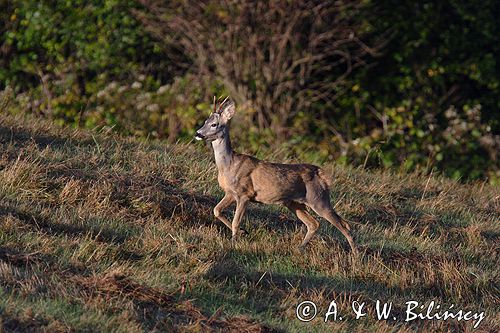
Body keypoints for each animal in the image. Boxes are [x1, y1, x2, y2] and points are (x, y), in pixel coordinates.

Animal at [193, 97, 358, 253]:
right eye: (205, 121)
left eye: (214, 124)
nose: (198, 133)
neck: (228, 165)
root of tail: (322, 176)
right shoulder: (231, 193)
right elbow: (216, 210)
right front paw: (243, 232)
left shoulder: (245, 193)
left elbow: (235, 221)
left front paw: (234, 242)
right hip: (294, 203)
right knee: (314, 223)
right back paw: (300, 248)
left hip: (318, 199)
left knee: (344, 225)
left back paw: (355, 255)